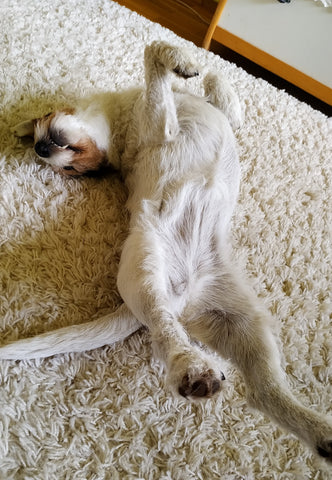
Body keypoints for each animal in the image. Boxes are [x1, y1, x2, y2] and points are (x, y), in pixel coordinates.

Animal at [4, 43, 332, 460]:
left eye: (73, 170)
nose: (42, 147)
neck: (119, 121)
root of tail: (183, 294)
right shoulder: (160, 126)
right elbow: (154, 57)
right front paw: (182, 61)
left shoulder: (219, 117)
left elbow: (224, 95)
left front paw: (203, 73)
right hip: (146, 268)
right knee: (164, 331)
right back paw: (191, 368)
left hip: (243, 322)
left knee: (264, 391)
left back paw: (319, 431)